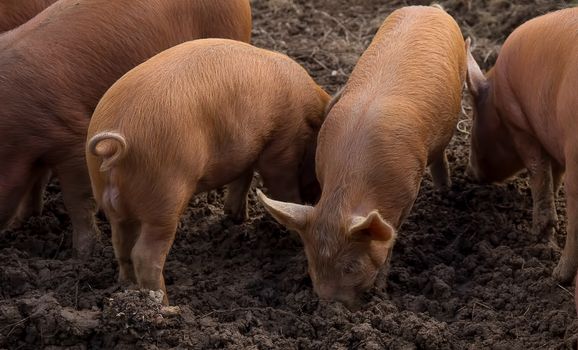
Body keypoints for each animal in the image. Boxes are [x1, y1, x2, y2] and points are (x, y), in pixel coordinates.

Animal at [85, 39, 328, 306]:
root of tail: (113, 144)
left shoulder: (246, 151)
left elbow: (242, 178)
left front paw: (237, 217)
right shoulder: (282, 146)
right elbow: (283, 187)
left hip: (113, 204)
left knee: (121, 245)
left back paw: (127, 288)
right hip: (164, 198)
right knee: (145, 255)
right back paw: (166, 306)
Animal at [258, 4, 466, 308]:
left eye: (351, 266)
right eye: (311, 260)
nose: (328, 304)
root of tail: (430, 8)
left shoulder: (407, 194)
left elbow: (390, 239)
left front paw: (382, 290)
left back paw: (445, 191)